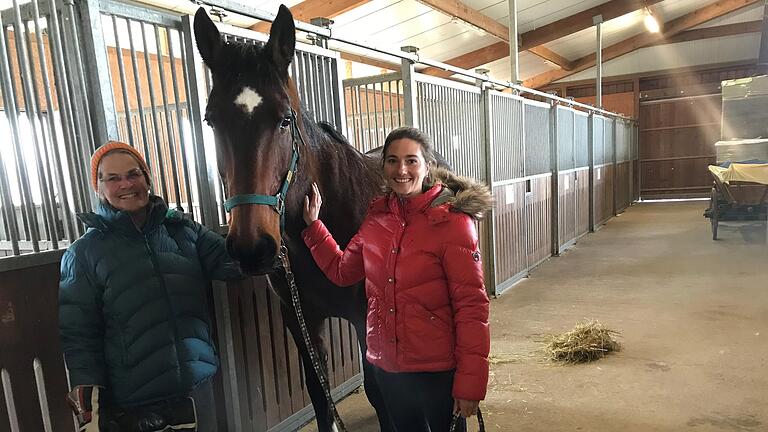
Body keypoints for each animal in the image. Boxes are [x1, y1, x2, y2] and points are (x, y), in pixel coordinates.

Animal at [195, 6, 392, 432]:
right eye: (211, 121)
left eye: (285, 119)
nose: (253, 248)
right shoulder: (299, 319)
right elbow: (320, 394)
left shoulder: (365, 317)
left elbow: (381, 392)